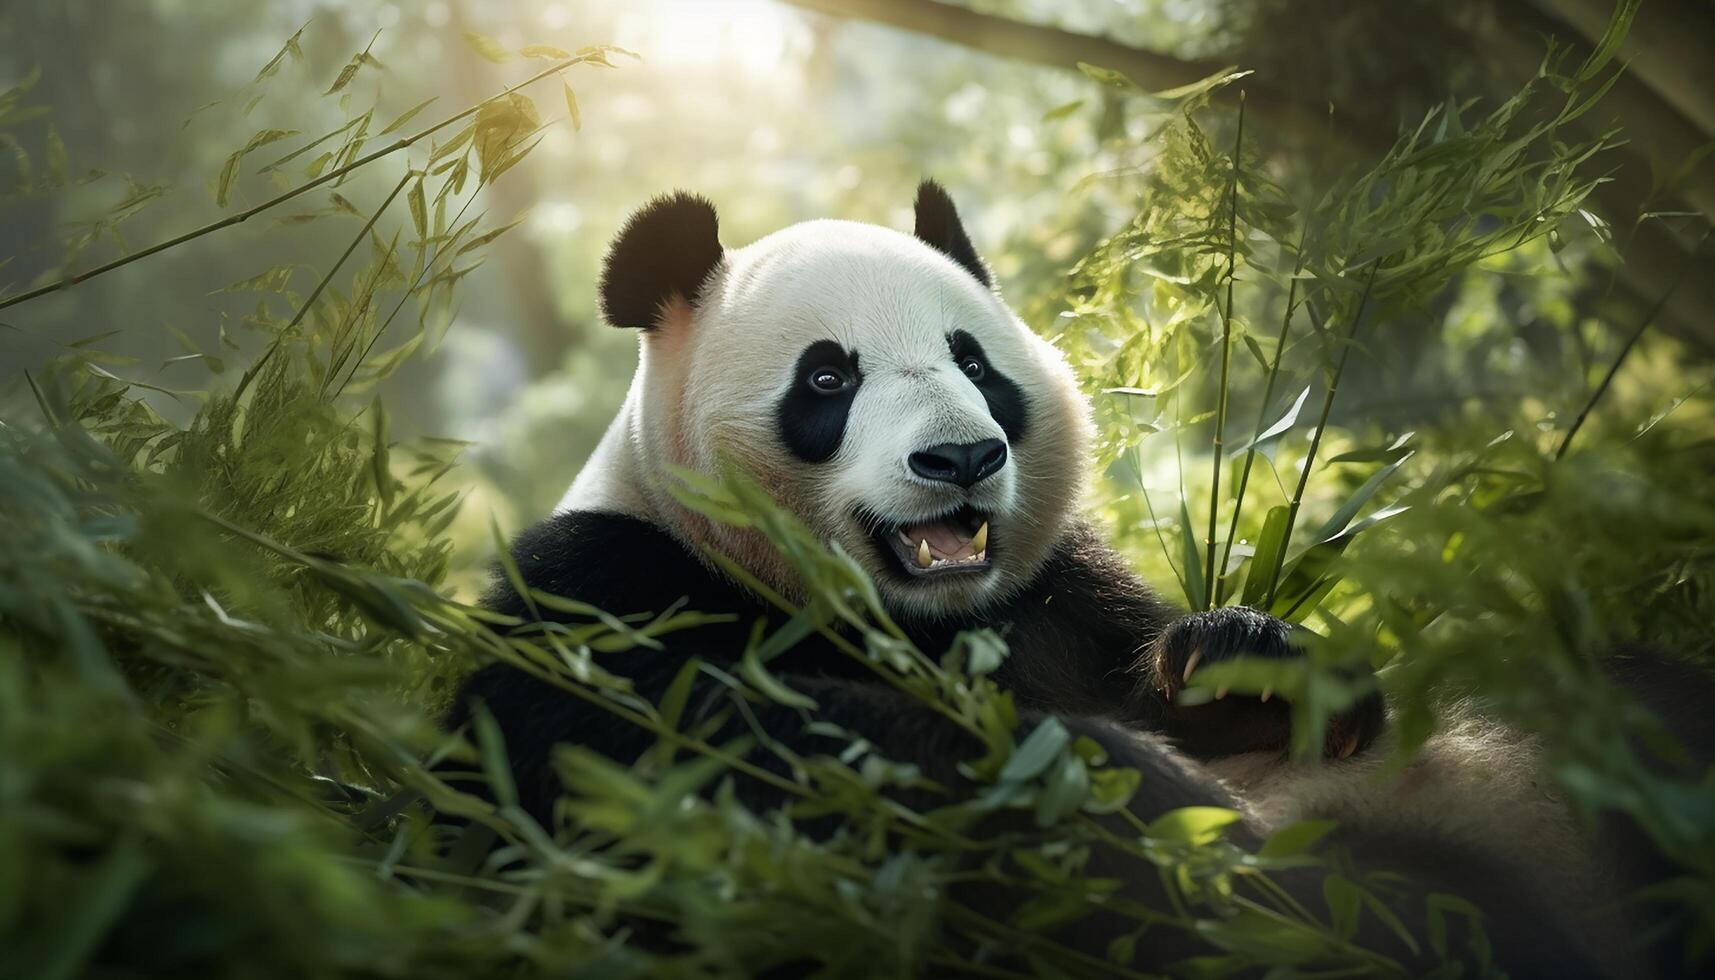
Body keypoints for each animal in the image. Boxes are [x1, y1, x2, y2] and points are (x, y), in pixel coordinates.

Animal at [449, 180, 1708, 974]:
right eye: (826, 378)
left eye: (972, 361)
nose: (960, 458)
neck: (917, 618)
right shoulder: (604, 586)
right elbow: (683, 745)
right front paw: (1104, 775)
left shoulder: (1055, 591)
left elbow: (1161, 663)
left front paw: (1244, 661)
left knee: (1624, 708)